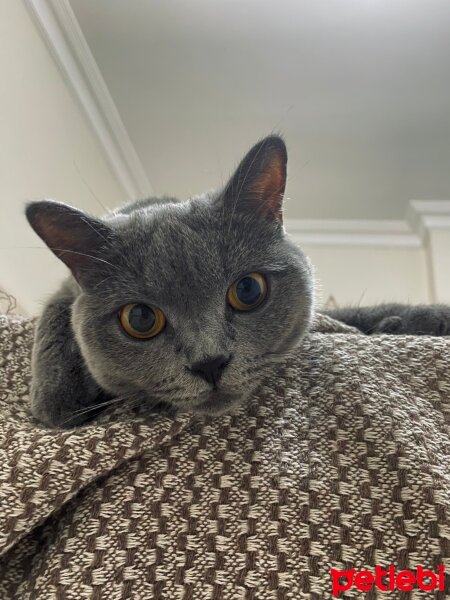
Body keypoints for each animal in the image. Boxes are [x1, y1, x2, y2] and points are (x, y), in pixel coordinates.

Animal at [25, 136, 450, 426]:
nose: (209, 363)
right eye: (141, 319)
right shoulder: (66, 290)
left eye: (248, 290)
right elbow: (55, 312)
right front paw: (58, 398)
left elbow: (346, 315)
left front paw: (424, 317)